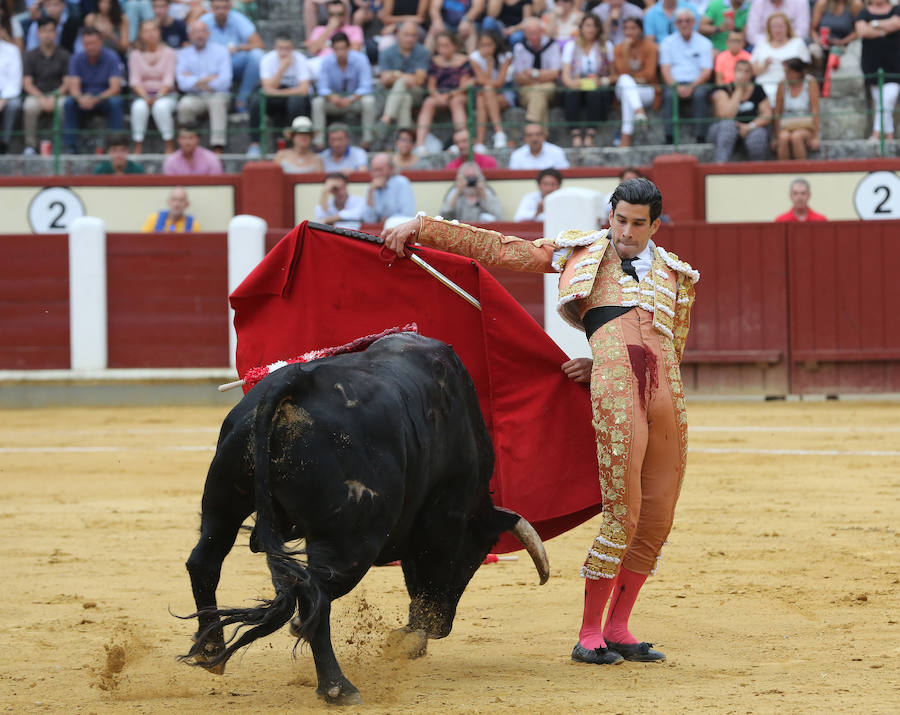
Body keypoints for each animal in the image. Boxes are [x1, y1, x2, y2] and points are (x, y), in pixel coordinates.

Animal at [183, 334, 548, 704]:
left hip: (223, 501)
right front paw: (410, 640)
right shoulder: (443, 519)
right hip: (353, 542)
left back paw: (210, 650)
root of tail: (295, 385)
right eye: (472, 558)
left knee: (205, 562)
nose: (441, 628)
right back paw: (337, 687)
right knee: (315, 596)